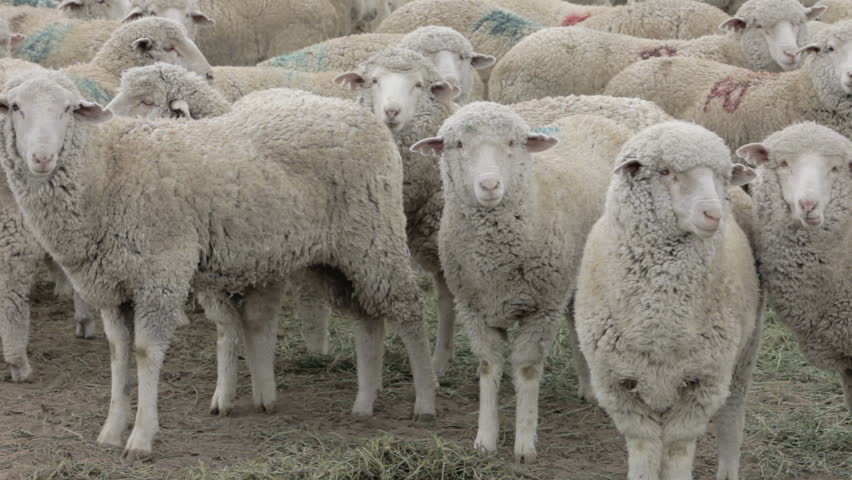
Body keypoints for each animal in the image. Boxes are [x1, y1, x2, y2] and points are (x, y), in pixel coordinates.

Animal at [0, 70, 437, 460]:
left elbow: (145, 353)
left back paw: (425, 402)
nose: (41, 157)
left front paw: (141, 438)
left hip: (376, 239)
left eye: (68, 109)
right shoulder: (111, 287)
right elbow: (119, 355)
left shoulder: (160, 275)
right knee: (368, 320)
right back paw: (363, 403)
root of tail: (363, 115)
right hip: (335, 258)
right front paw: (110, 432)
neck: (107, 169)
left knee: (409, 311)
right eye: (15, 107)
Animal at [411, 103, 633, 463]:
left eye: (513, 142)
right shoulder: (475, 309)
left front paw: (525, 444)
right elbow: (489, 367)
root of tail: (596, 118)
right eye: (457, 144)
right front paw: (485, 440)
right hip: (572, 276)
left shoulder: (542, 308)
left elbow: (527, 370)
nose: (489, 185)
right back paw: (587, 386)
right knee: (575, 322)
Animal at [574, 121, 761, 480]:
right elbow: (645, 446)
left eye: (721, 175)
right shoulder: (616, 384)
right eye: (665, 171)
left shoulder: (704, 382)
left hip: (744, 354)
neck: (660, 325)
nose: (713, 214)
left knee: (733, 413)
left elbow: (677, 447)